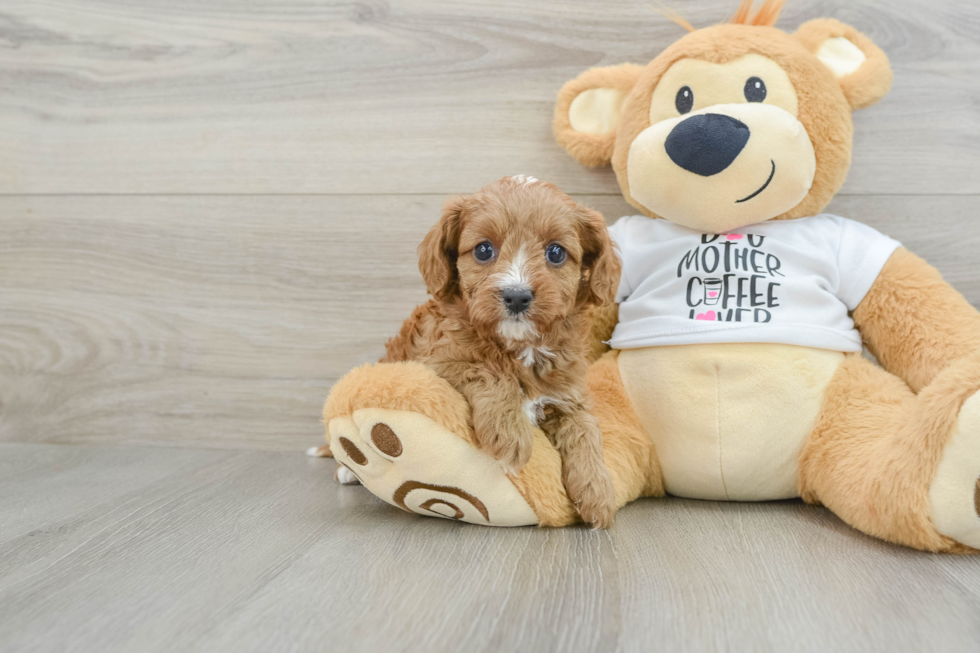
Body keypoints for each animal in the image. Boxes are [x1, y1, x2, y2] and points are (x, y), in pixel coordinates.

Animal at [382, 176, 620, 528]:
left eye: (556, 253)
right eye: (483, 249)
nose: (517, 296)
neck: (520, 346)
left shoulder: (568, 394)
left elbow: (586, 430)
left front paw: (598, 491)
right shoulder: (436, 361)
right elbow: (487, 370)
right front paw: (509, 434)